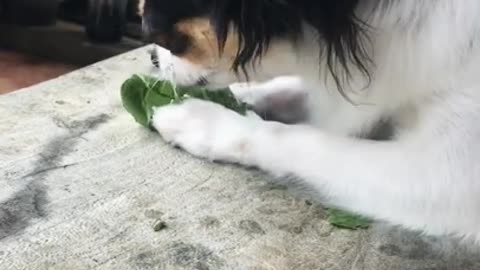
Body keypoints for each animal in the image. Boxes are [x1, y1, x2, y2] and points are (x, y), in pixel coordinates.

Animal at [137, 0, 480, 244]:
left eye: (163, 34)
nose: (152, 56)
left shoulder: (447, 176)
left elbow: (298, 137)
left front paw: (202, 121)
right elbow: (290, 92)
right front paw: (239, 98)